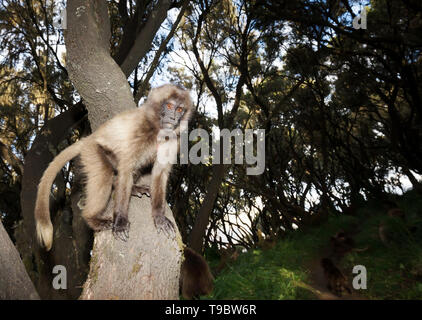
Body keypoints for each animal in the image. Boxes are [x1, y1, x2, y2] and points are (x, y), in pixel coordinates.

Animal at [34, 84, 193, 251]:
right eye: (169, 106)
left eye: (180, 109)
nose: (173, 118)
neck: (156, 129)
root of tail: (89, 138)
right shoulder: (138, 130)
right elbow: (126, 170)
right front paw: (121, 222)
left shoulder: (173, 139)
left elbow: (159, 173)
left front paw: (159, 217)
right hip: (93, 150)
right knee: (106, 173)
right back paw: (91, 218)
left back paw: (132, 188)